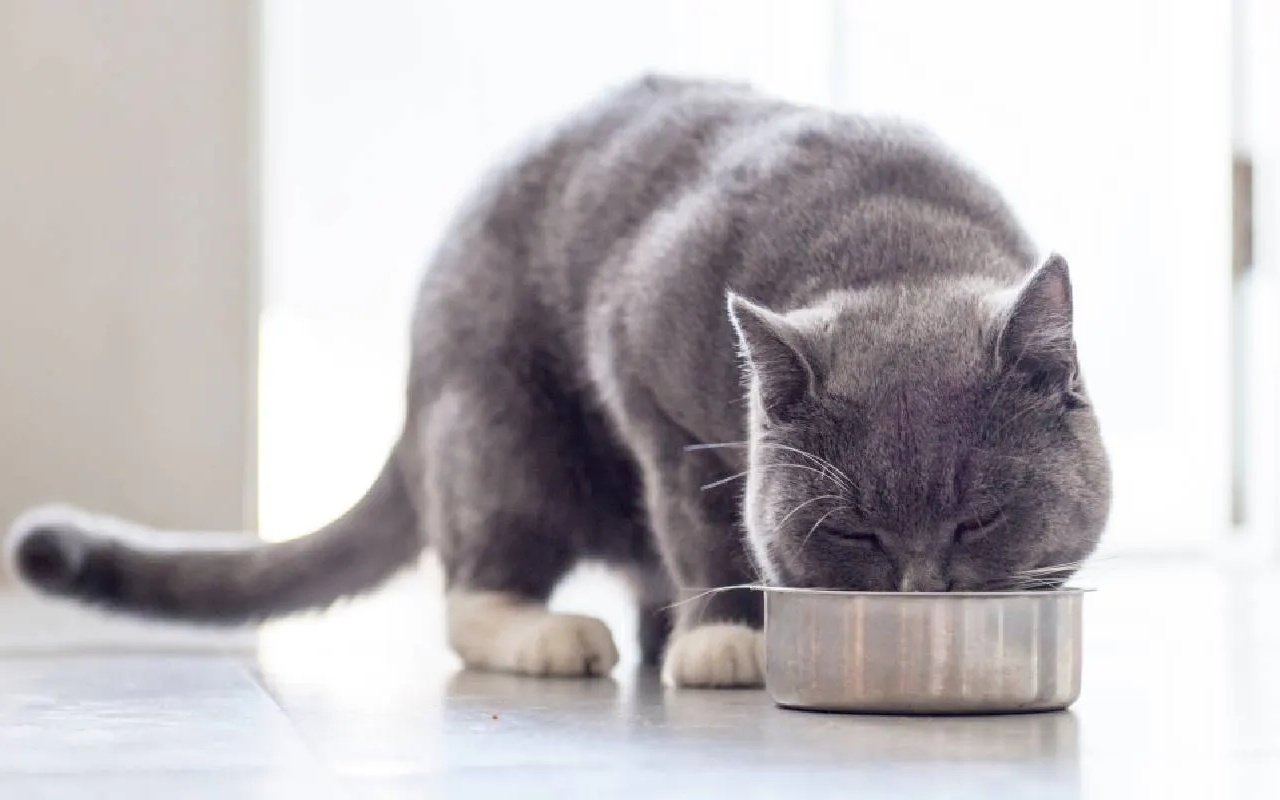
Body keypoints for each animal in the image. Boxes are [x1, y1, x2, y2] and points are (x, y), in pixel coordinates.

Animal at [7, 76, 1111, 686]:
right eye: (854, 533)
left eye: (980, 517)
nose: (923, 590)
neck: (893, 244)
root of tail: (411, 399)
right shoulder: (647, 380)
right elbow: (701, 522)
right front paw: (726, 638)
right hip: (500, 426)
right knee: (474, 582)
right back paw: (556, 633)